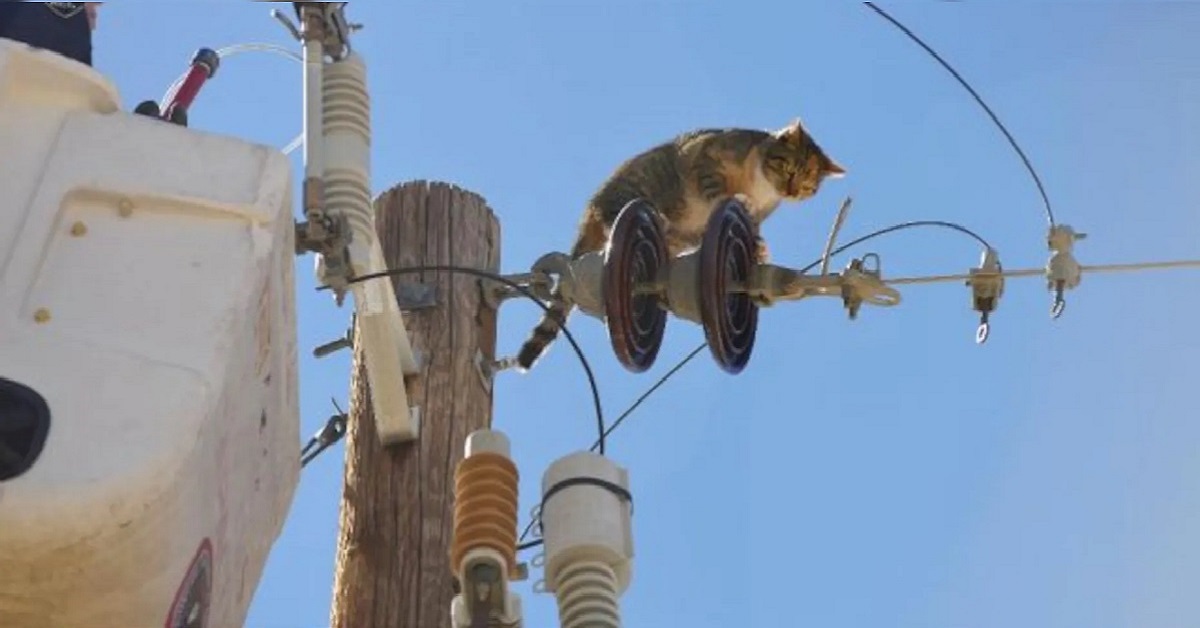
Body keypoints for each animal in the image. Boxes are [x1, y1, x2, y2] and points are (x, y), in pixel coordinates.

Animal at [513, 116, 844, 374]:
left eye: (807, 185)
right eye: (789, 169)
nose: (791, 190)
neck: (760, 187)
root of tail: (589, 212)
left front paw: (760, 247)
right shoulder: (705, 158)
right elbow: (717, 189)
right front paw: (733, 198)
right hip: (633, 192)